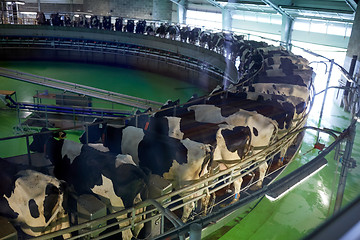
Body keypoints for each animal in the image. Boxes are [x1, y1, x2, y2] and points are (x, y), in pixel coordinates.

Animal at [79, 123, 214, 222]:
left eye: (90, 129)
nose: (80, 138)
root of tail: (205, 147)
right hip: (201, 180)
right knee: (205, 196)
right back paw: (202, 214)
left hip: (186, 185)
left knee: (189, 205)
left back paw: (184, 220)